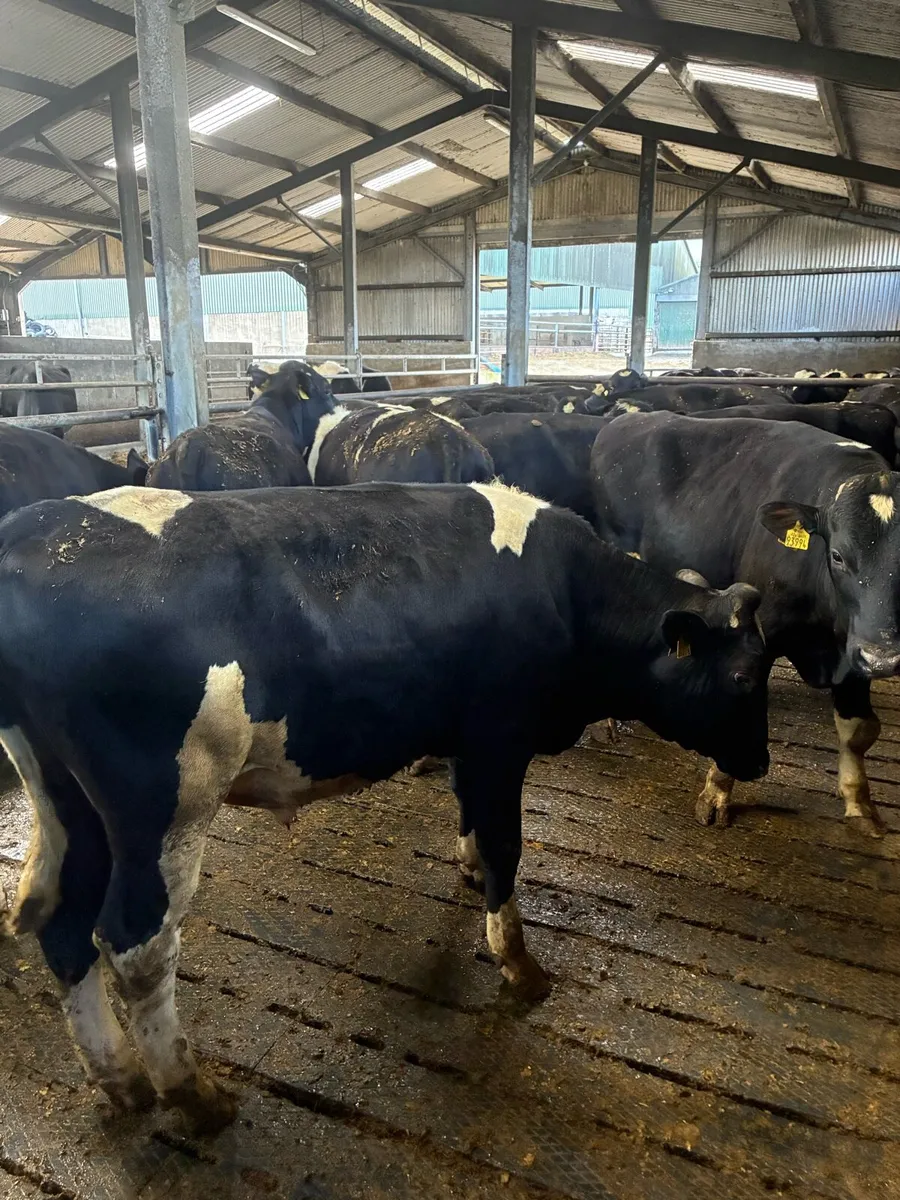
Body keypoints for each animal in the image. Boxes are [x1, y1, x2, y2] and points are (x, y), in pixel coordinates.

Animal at [0, 479, 769, 1131]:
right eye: (740, 677)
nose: (758, 763)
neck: (566, 592)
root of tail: (33, 531)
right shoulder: (499, 736)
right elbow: (505, 843)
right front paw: (518, 964)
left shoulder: (466, 741)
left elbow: (472, 820)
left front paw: (469, 873)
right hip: (164, 806)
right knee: (136, 946)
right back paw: (194, 1095)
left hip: (70, 803)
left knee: (63, 924)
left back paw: (122, 1082)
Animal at [591, 411, 900, 837]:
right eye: (838, 555)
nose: (884, 657)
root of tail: (624, 421)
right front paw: (716, 794)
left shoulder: (856, 648)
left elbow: (859, 731)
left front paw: (860, 803)